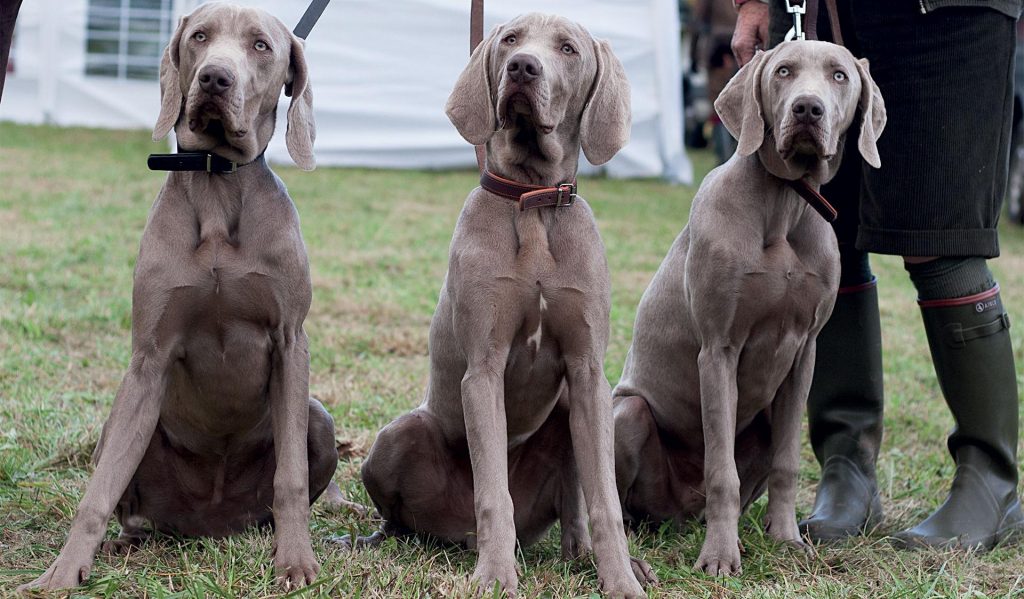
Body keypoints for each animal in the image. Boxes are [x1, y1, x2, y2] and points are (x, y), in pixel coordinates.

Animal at [18, 2, 339, 589]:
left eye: (261, 45)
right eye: (200, 37)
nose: (214, 78)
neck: (217, 182)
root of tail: (208, 528)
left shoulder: (290, 340)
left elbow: (292, 479)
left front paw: (296, 561)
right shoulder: (149, 355)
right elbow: (97, 490)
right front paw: (62, 572)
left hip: (318, 416)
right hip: (120, 427)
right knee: (125, 496)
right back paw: (125, 542)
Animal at [348, 12, 651, 597]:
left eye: (568, 48)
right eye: (510, 39)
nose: (522, 68)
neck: (532, 201)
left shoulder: (587, 372)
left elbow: (603, 498)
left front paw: (622, 578)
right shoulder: (483, 370)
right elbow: (493, 491)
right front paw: (494, 577)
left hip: (567, 410)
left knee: (573, 505)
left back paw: (586, 555)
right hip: (400, 434)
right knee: (406, 512)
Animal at [610, 41, 884, 573]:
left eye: (839, 75)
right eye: (784, 71)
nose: (807, 109)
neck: (784, 203)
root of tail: (679, 513)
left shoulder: (804, 353)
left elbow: (787, 462)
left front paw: (787, 539)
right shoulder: (719, 349)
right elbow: (722, 471)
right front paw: (718, 556)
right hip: (627, 412)